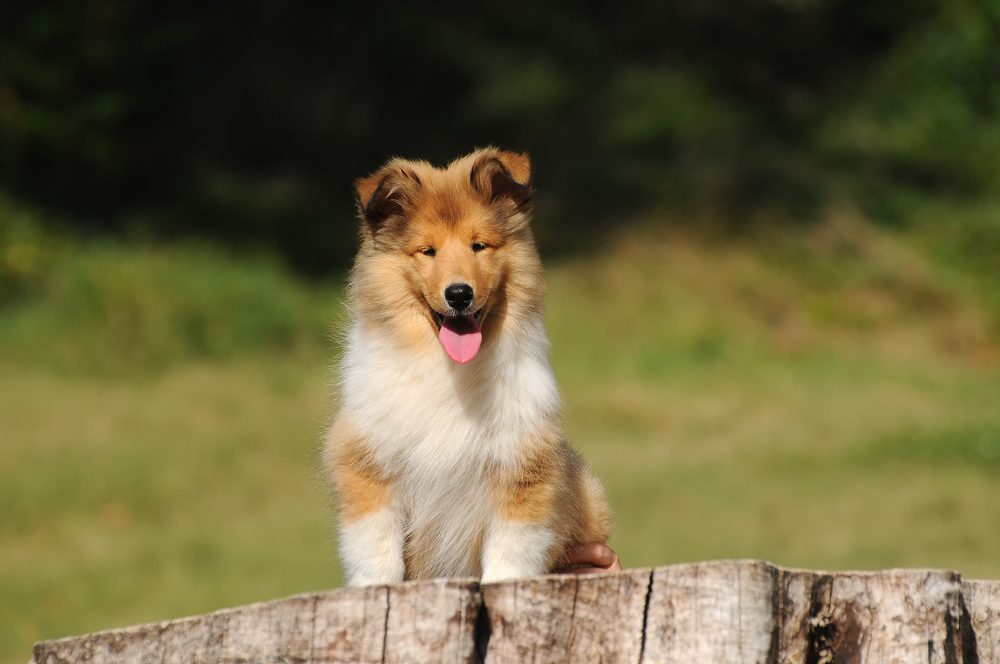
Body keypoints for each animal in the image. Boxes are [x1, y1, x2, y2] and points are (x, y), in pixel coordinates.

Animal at [326, 148, 608, 584]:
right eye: (428, 251)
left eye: (479, 245)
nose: (459, 294)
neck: (449, 369)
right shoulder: (366, 464)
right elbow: (374, 550)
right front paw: (372, 588)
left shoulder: (525, 471)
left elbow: (511, 554)